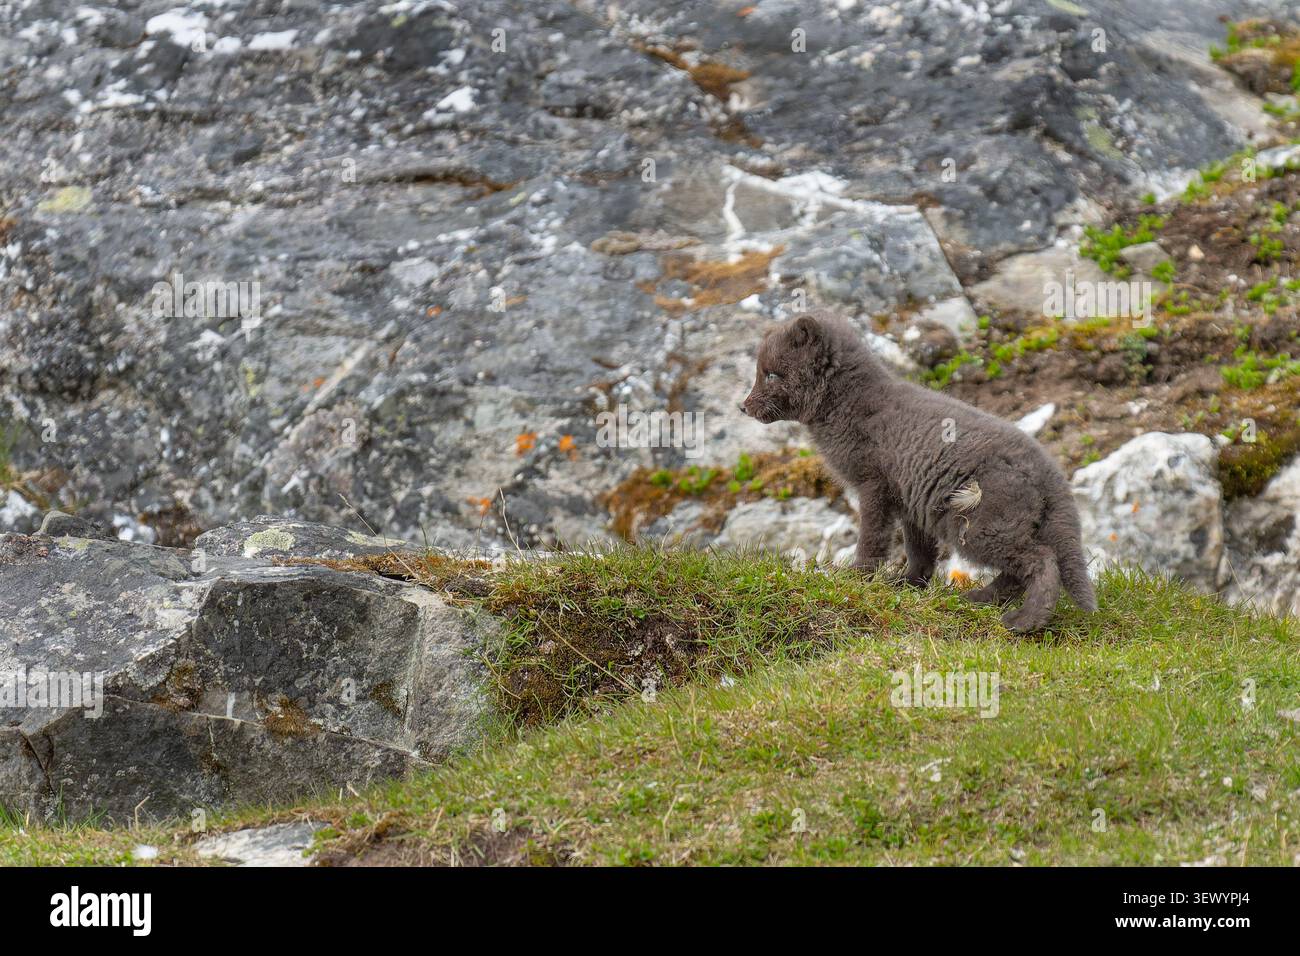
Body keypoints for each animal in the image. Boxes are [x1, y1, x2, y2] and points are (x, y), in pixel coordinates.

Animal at [740, 313, 1096, 633]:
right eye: (760, 372)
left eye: (770, 375)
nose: (743, 407)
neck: (847, 404)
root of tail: (1051, 474)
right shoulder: (912, 500)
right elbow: (920, 552)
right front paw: (908, 584)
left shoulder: (874, 485)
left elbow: (872, 540)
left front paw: (857, 577)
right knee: (1018, 572)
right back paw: (977, 599)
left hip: (979, 526)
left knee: (1042, 560)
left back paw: (1024, 622)